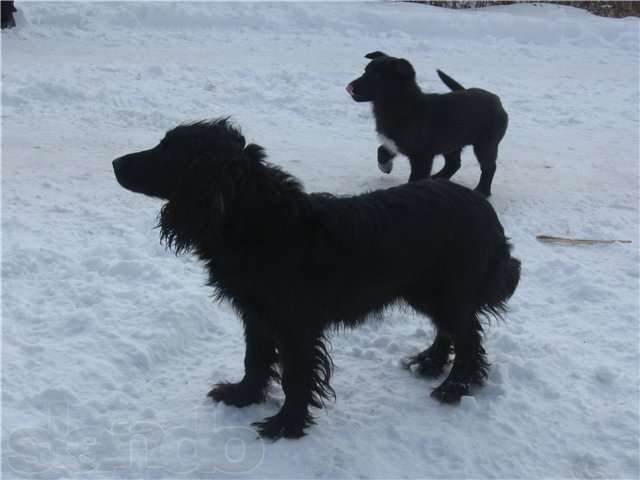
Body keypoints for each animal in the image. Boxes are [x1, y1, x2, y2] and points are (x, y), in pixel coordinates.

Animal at [112, 119, 524, 438]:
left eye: (168, 151)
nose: (115, 162)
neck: (259, 223)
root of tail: (484, 208)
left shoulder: (295, 325)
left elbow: (296, 376)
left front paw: (285, 425)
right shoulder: (257, 315)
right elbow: (255, 359)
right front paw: (242, 396)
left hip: (446, 289)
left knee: (469, 338)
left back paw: (453, 387)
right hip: (426, 290)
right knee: (449, 329)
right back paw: (430, 363)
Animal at [348, 51, 508, 197]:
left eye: (378, 76)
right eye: (365, 71)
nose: (349, 87)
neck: (401, 105)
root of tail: (497, 100)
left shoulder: (422, 157)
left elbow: (415, 177)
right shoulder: (394, 142)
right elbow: (381, 150)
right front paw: (386, 166)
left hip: (486, 143)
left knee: (489, 167)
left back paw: (482, 191)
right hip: (452, 142)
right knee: (454, 163)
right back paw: (438, 178)